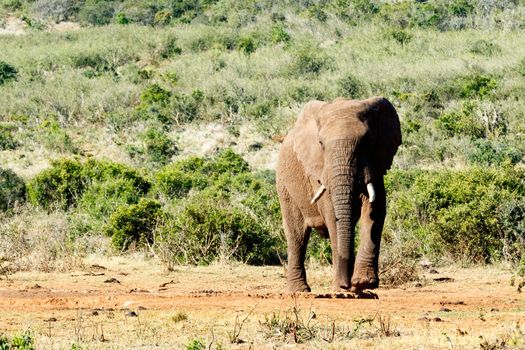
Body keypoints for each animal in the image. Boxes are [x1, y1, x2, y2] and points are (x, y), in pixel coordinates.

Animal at [276, 95, 400, 292]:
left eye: (367, 142)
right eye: (321, 144)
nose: (345, 284)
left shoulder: (375, 164)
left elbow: (375, 209)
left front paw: (363, 283)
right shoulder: (320, 170)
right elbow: (332, 213)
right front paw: (341, 288)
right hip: (285, 187)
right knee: (297, 236)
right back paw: (299, 291)